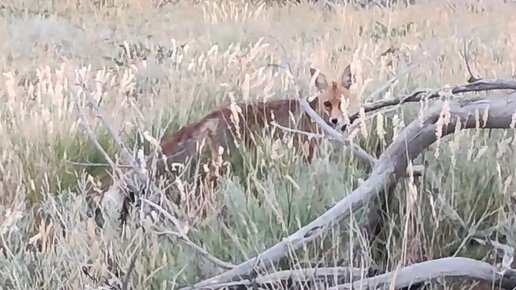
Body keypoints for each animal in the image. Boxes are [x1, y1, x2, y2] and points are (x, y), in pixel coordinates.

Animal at [86, 64, 356, 225]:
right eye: (328, 104)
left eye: (342, 102)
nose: (338, 122)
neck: (313, 116)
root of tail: (213, 114)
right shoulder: (304, 154)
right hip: (217, 170)